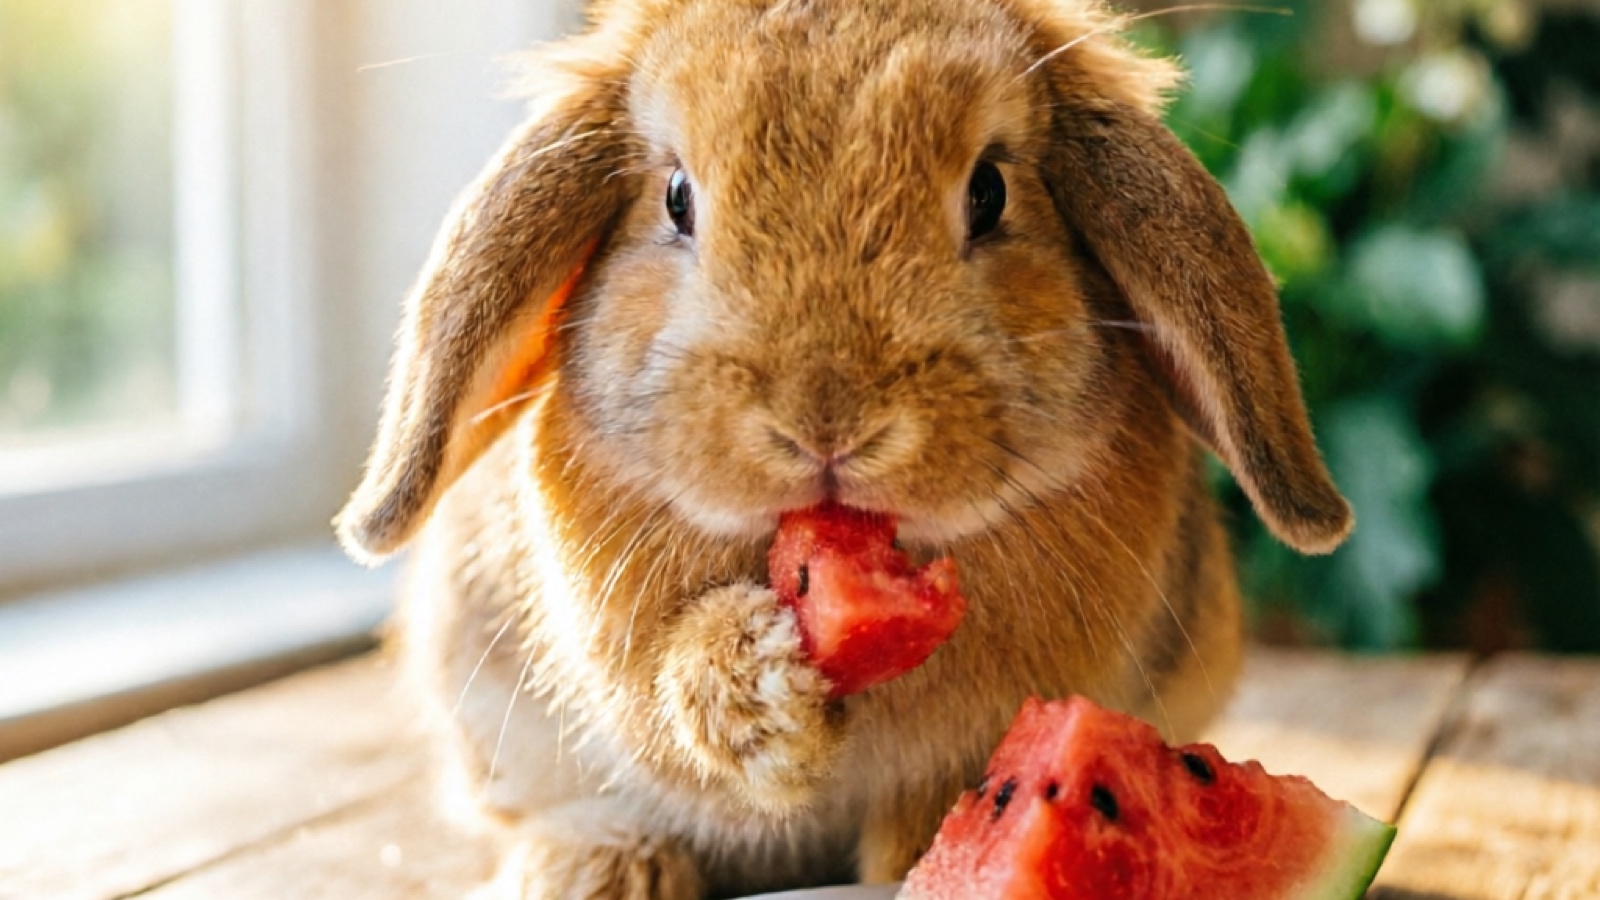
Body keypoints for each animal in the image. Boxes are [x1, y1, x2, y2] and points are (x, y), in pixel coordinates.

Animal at [336, 0, 1353, 897]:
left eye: (989, 192)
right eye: (677, 199)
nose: (825, 421)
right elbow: (670, 705)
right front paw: (763, 686)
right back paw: (599, 869)